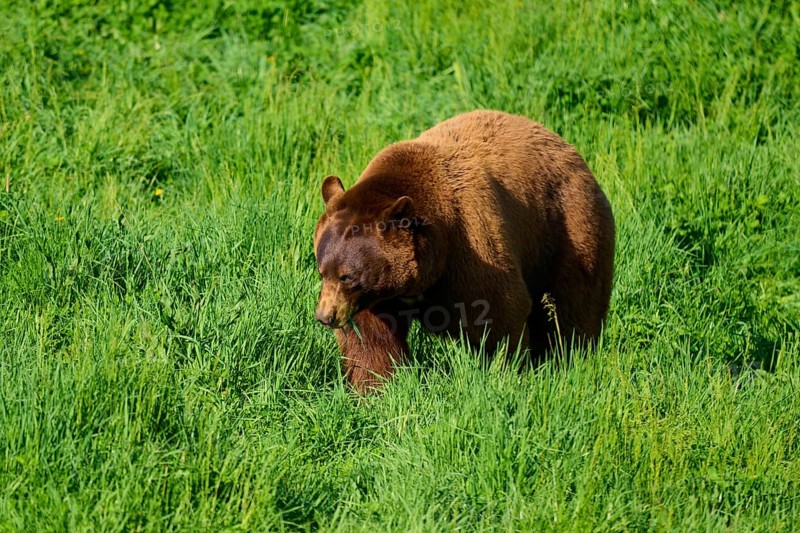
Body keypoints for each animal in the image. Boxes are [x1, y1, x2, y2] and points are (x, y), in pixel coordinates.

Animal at [313, 110, 615, 393]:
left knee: (573, 305)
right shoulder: (376, 296)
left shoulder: (470, 246)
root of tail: (568, 148)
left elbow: (499, 314)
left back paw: (569, 355)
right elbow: (371, 339)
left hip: (568, 228)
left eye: (347, 276)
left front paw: (506, 372)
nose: (325, 317)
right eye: (322, 271)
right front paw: (377, 388)